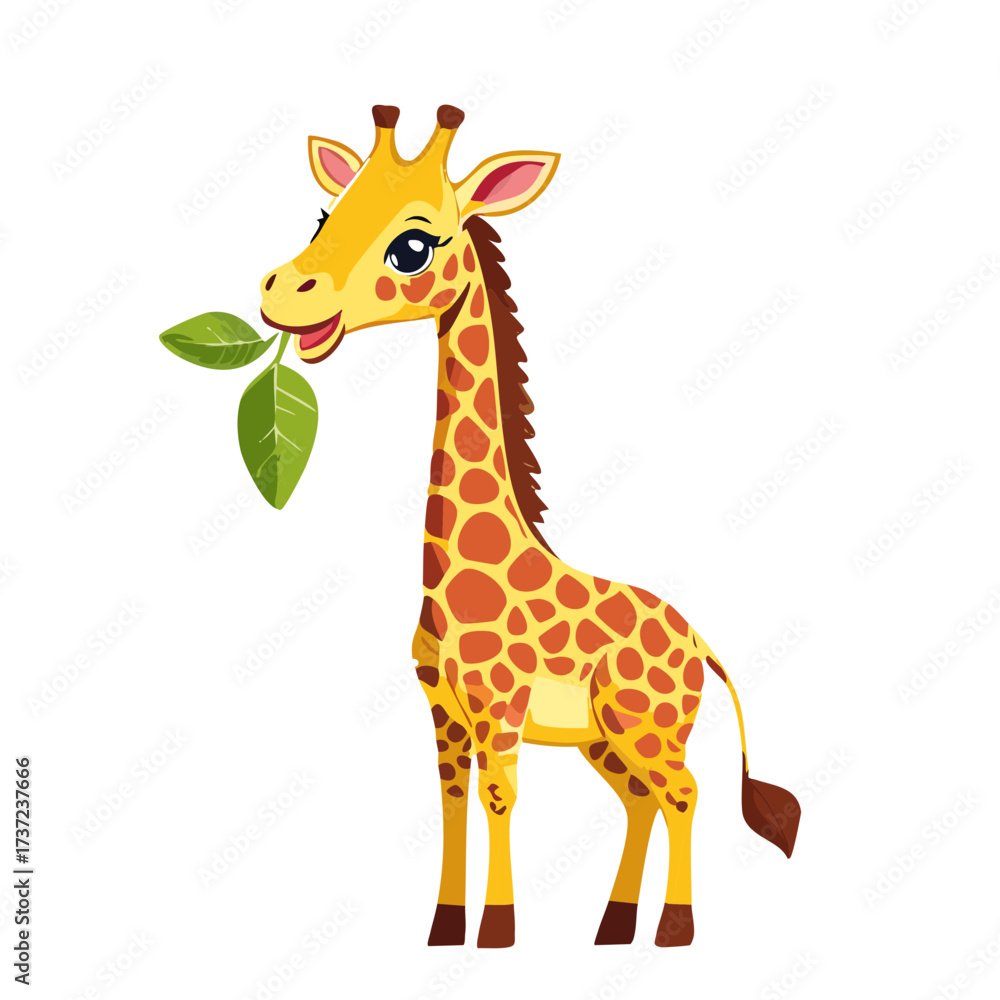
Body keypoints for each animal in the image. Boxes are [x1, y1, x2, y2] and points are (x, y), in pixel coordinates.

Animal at [259, 105, 801, 950]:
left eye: (413, 245)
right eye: (325, 217)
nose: (283, 292)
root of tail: (700, 643)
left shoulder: (499, 708)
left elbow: (500, 800)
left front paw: (498, 931)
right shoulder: (444, 711)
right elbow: (451, 802)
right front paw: (446, 928)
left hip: (649, 726)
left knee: (684, 792)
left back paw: (673, 930)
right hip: (605, 738)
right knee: (640, 799)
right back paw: (612, 926)